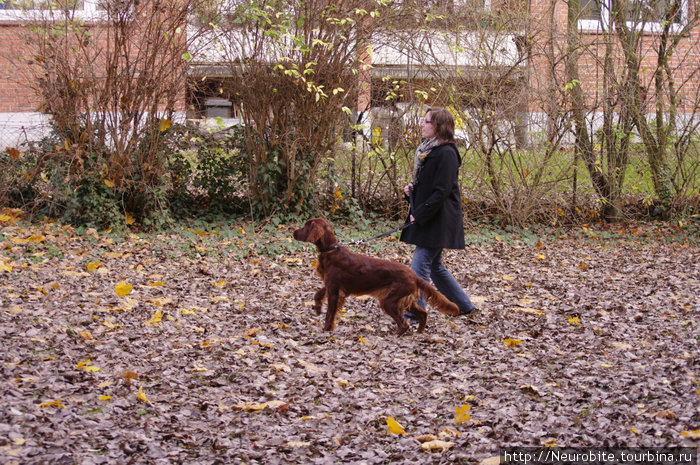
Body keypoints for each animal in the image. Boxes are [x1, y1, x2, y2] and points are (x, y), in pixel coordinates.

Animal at [292, 218, 460, 334]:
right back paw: (419, 332)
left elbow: (330, 313)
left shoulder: (334, 290)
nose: (293, 233)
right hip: (404, 299)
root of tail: (413, 274)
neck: (330, 250)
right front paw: (317, 308)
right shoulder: (332, 285)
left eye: (306, 226)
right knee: (423, 313)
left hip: (389, 301)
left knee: (404, 324)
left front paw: (326, 329)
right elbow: (318, 293)